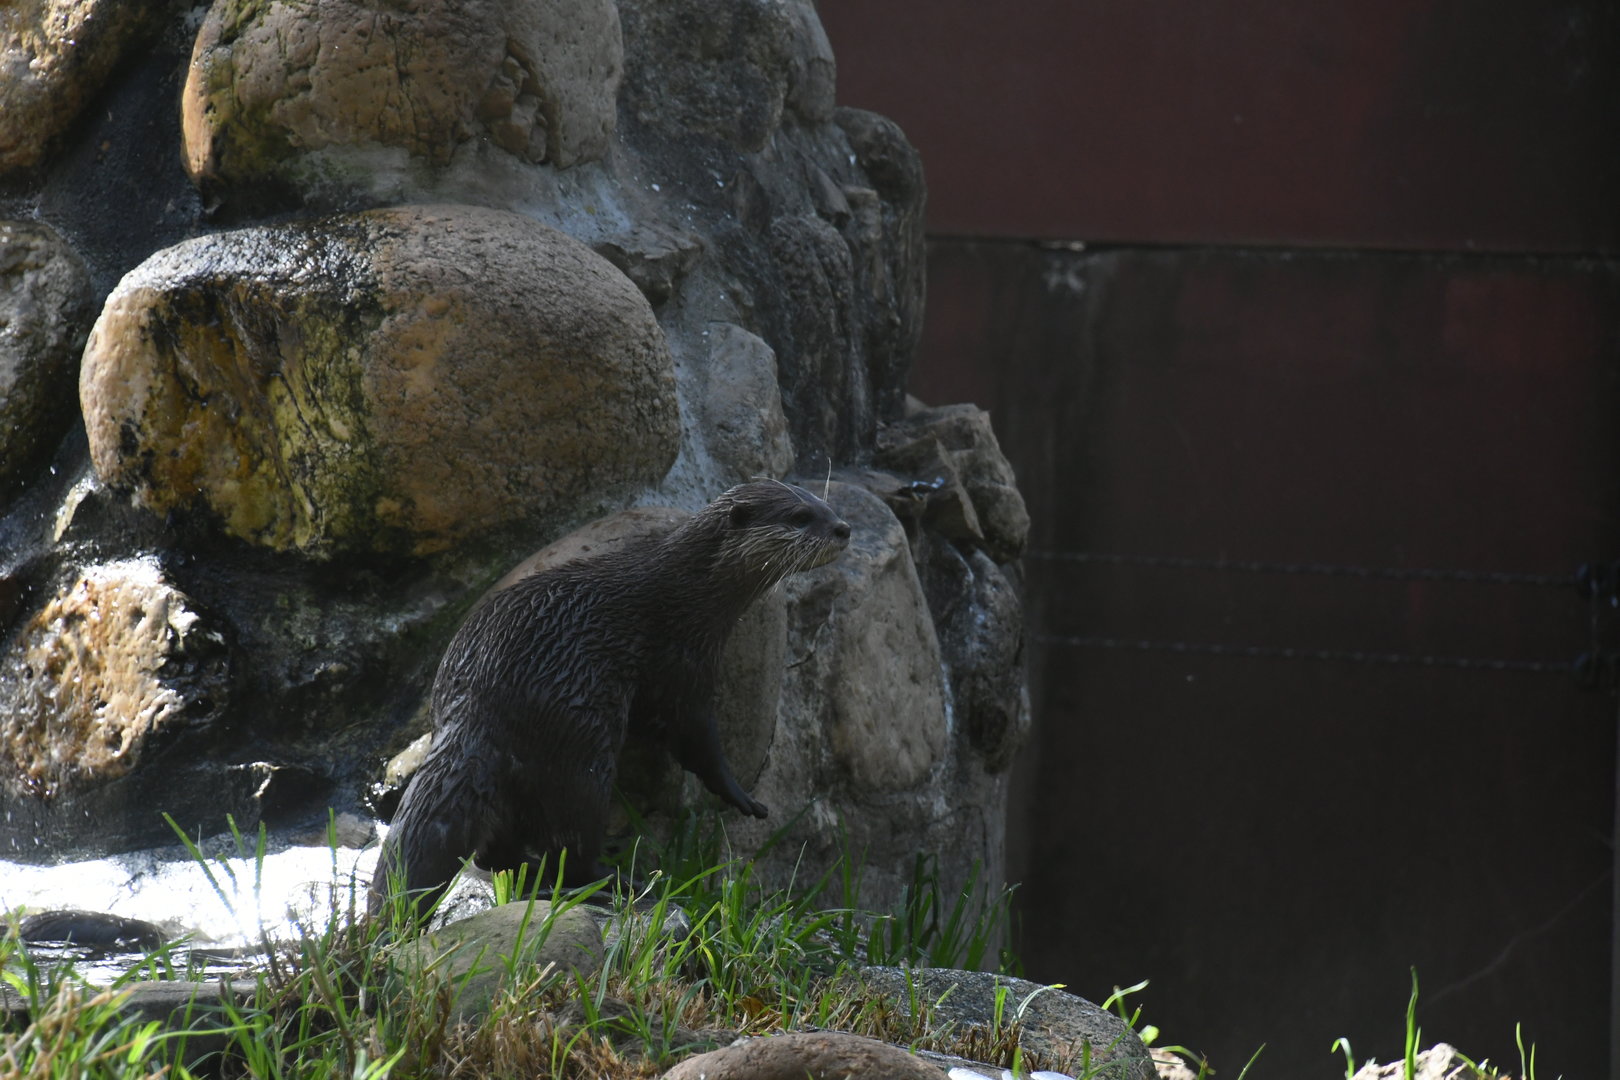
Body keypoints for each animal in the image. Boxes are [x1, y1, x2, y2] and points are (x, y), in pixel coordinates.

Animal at [369, 480, 850, 921]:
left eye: (824, 503)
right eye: (800, 517)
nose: (843, 528)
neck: (690, 593)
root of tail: (473, 702)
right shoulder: (682, 662)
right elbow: (696, 739)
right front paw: (740, 796)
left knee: (496, 850)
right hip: (579, 742)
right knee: (571, 838)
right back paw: (615, 880)